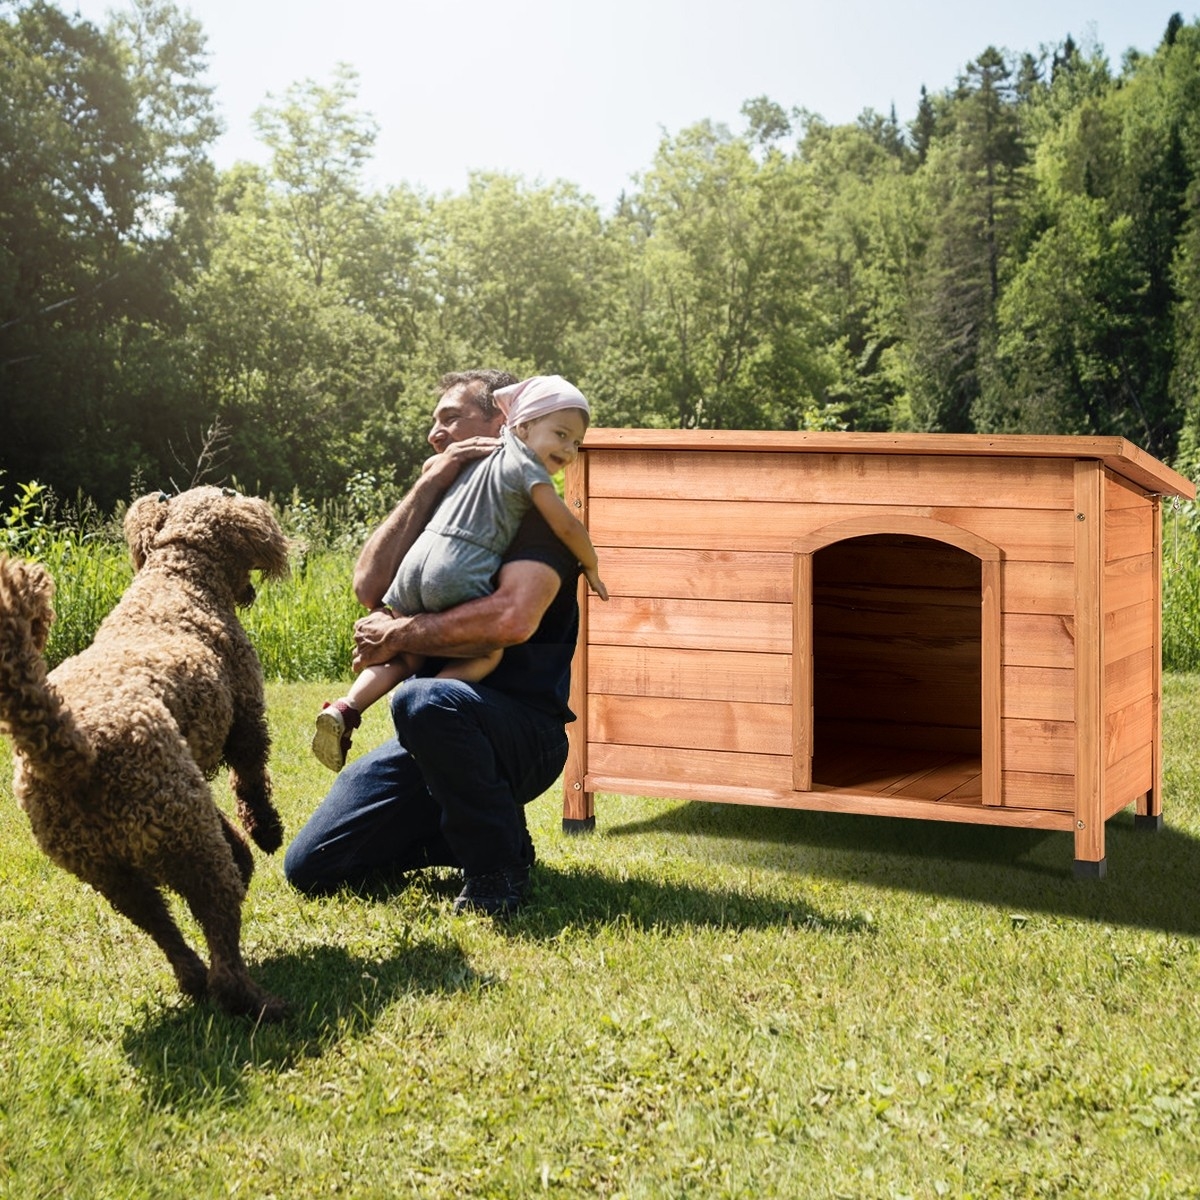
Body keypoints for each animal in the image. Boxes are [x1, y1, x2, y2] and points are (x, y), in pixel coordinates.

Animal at [0, 487, 290, 1022]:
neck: (178, 575)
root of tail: (74, 750)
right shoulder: (246, 714)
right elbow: (250, 779)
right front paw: (265, 832)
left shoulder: (186, 778)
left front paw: (245, 847)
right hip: (187, 841)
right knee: (220, 933)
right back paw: (258, 1002)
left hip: (117, 869)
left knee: (163, 928)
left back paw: (193, 976)